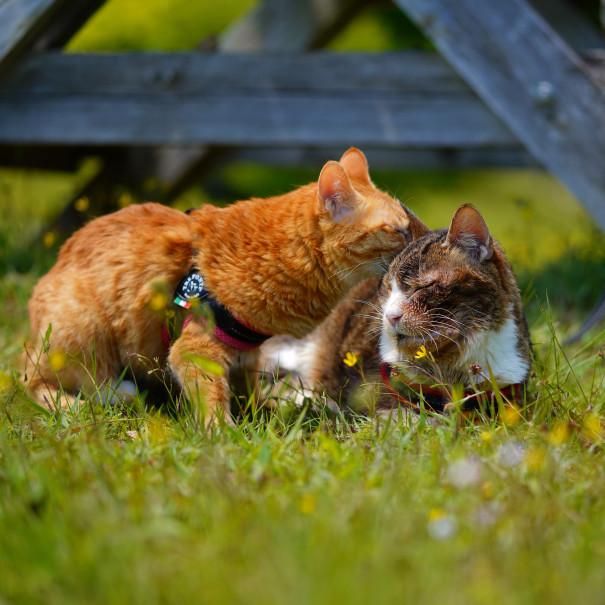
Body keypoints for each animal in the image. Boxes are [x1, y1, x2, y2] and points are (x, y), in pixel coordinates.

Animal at [23, 147, 428, 422]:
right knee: (33, 384)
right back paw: (104, 397)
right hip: (82, 331)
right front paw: (223, 434)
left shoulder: (247, 351)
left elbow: (248, 391)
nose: (427, 234)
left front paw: (264, 411)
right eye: (399, 230)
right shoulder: (195, 350)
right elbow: (214, 401)